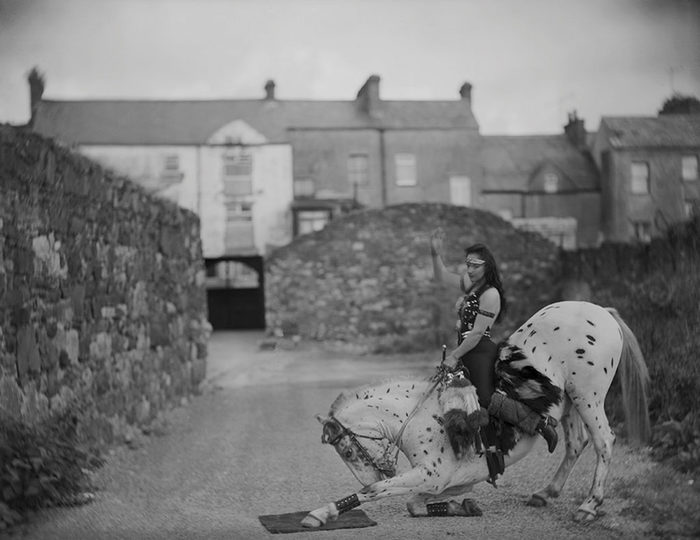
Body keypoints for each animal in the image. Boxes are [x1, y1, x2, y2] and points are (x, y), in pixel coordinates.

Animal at [300, 302, 652, 528]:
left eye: (347, 451)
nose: (376, 473)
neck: (420, 416)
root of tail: (601, 312)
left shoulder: (433, 473)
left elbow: (373, 493)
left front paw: (321, 513)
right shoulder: (443, 480)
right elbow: (415, 504)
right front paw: (463, 506)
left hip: (587, 395)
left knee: (603, 441)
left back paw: (589, 506)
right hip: (569, 402)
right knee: (576, 443)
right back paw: (545, 493)